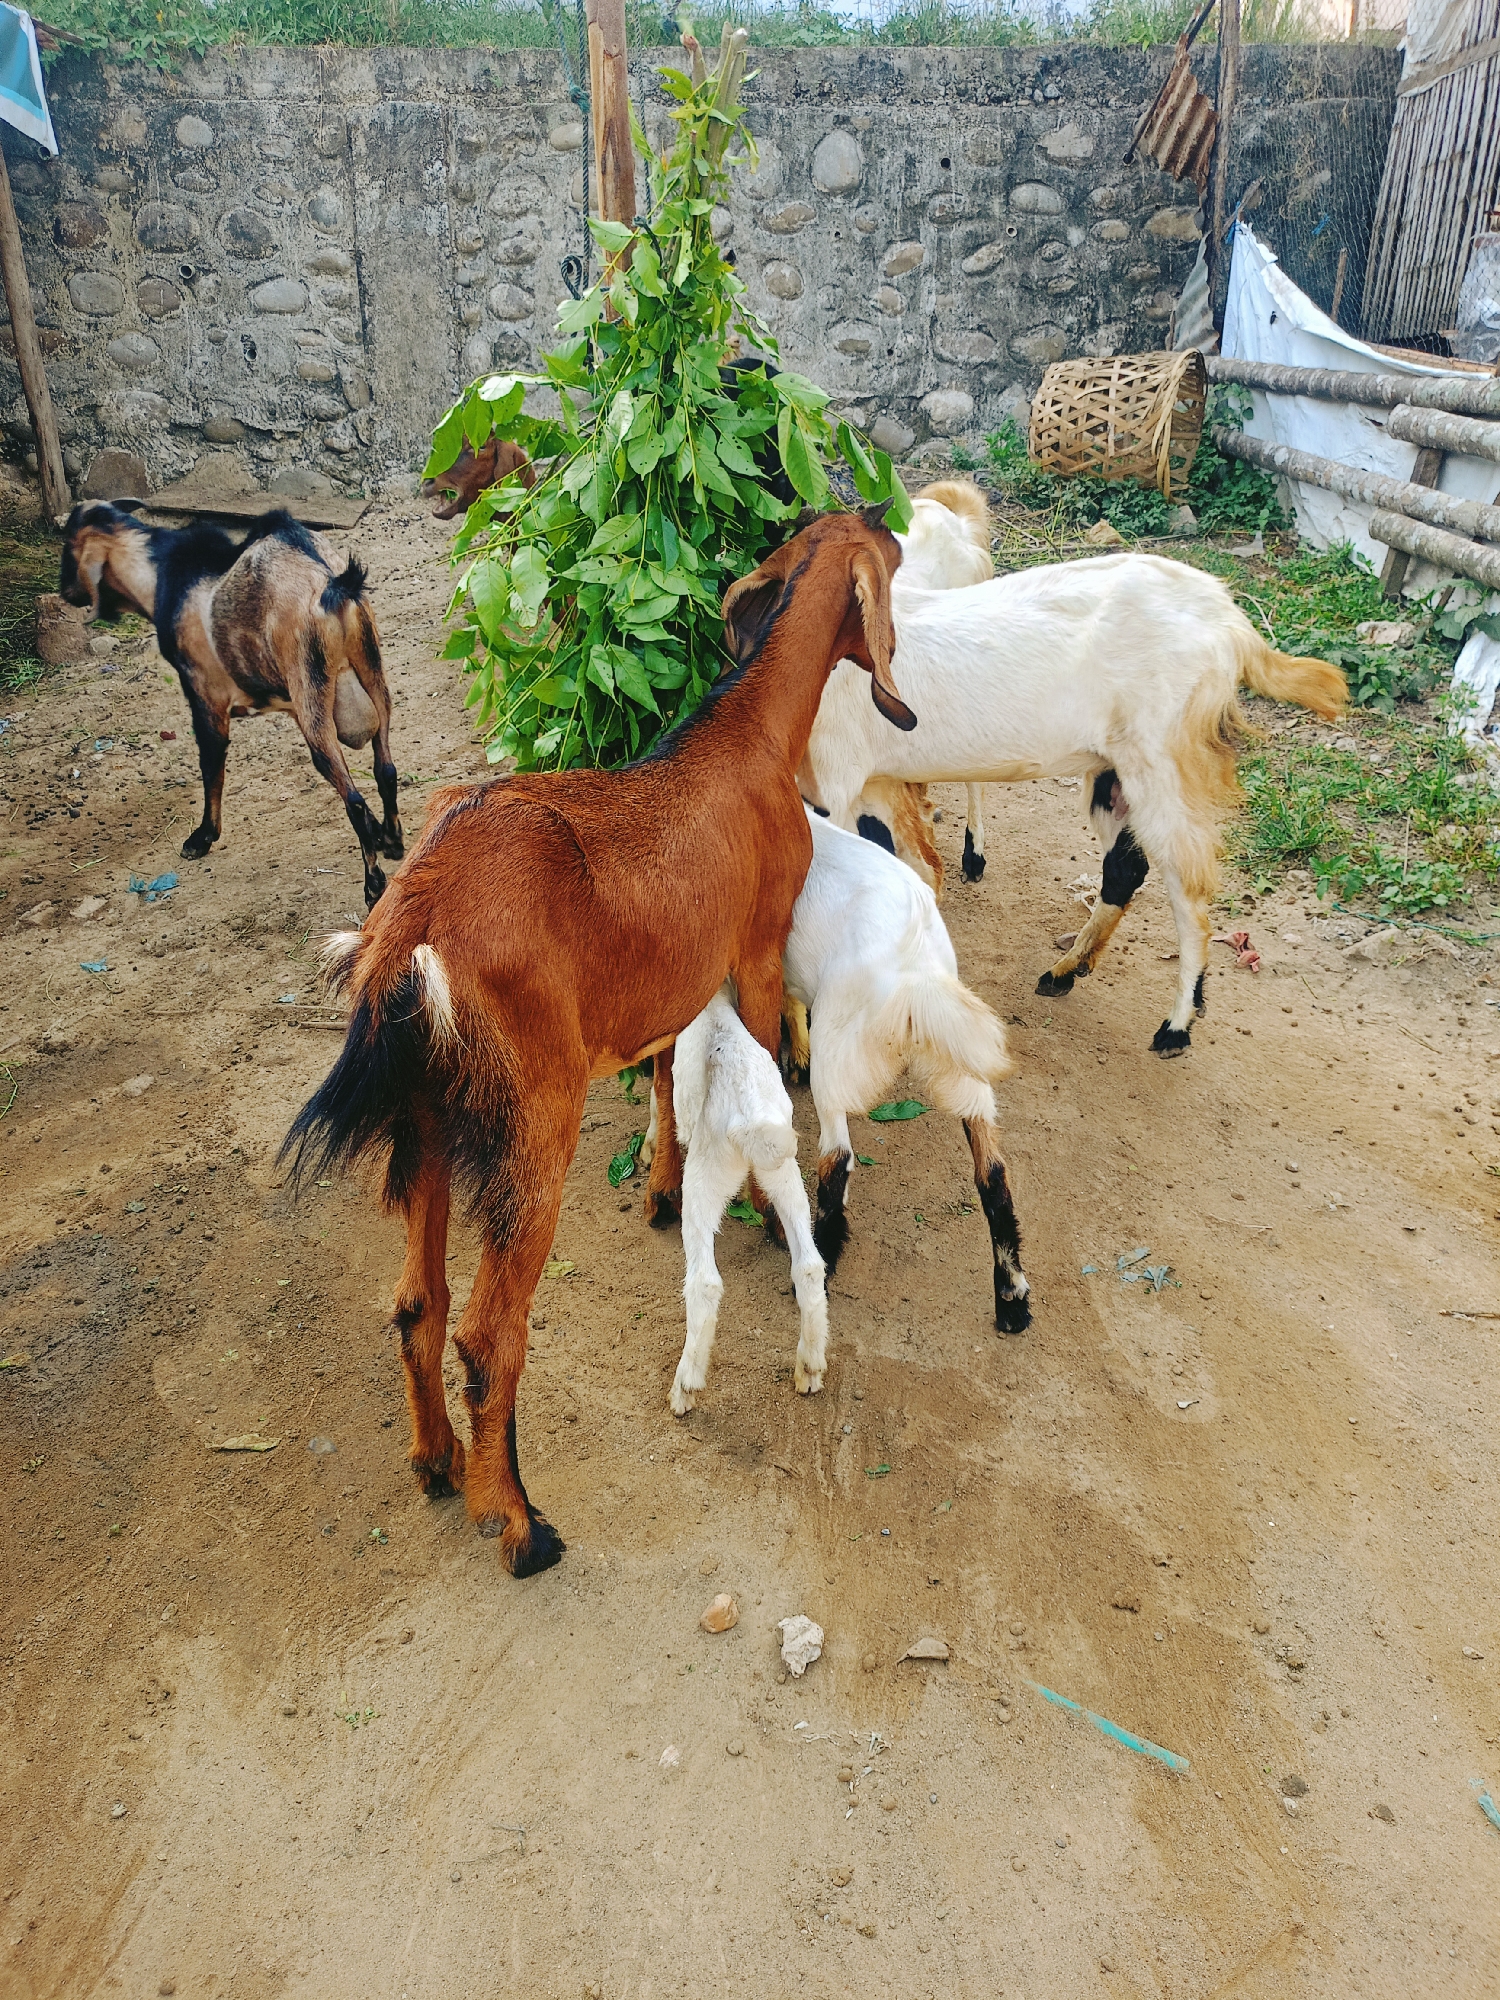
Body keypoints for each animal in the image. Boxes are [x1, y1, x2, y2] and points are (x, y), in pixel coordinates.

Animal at [59, 503, 402, 908]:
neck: (160, 574)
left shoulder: (204, 694)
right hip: (371, 670)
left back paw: (373, 885)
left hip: (312, 695)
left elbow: (211, 764)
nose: (64, 592)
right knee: (386, 769)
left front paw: (202, 837)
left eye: (67, 547)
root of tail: (333, 585)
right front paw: (382, 836)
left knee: (354, 800)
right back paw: (394, 842)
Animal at [665, 985, 828, 1416]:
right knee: (809, 1266)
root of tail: (749, 1121)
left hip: (703, 1178)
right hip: (784, 1172)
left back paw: (685, 1389)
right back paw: (809, 1370)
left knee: (704, 1284)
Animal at [800, 550, 1347, 1055]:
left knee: (1189, 892)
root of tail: (1232, 623)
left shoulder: (836, 783)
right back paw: (1066, 970)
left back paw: (1176, 1026)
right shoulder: (869, 787)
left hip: (1163, 767)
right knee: (1126, 868)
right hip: (1113, 775)